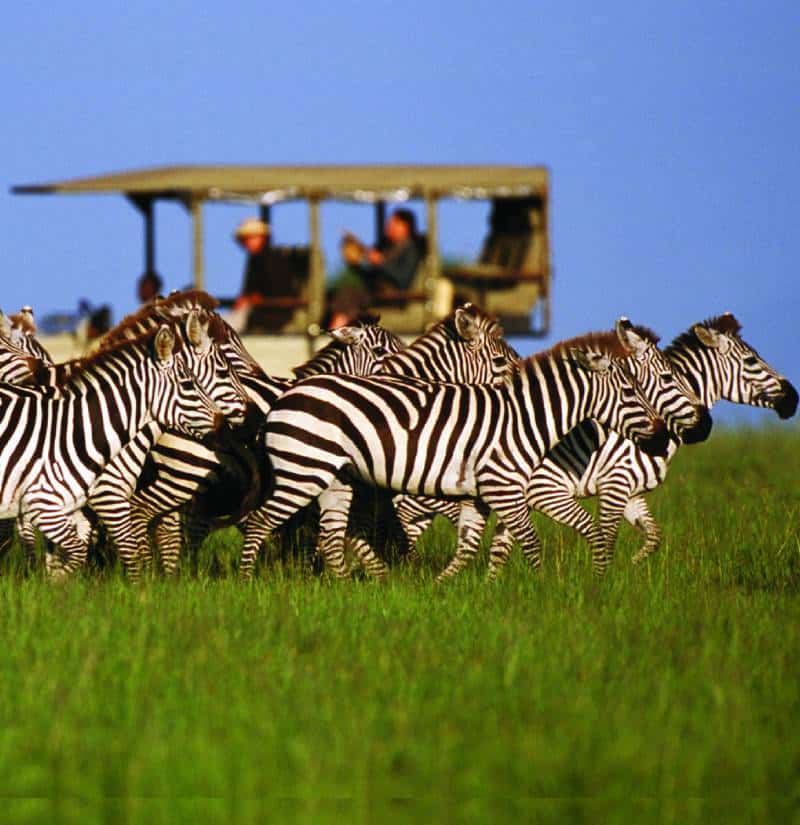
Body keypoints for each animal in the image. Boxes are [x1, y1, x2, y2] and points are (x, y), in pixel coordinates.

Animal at [0, 324, 224, 578]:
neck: (79, 432)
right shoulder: (47, 503)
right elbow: (101, 549)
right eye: (187, 384)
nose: (224, 424)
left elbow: (74, 551)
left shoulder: (72, 507)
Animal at [238, 327, 675, 580]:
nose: (660, 439)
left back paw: (345, 591)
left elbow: (469, 546)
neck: (524, 420)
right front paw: (542, 589)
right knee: (260, 522)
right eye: (630, 391)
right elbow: (530, 540)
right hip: (303, 471)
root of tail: (285, 397)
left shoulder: (475, 495)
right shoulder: (503, 488)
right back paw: (246, 582)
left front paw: (447, 589)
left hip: (334, 478)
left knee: (329, 536)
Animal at [474, 313, 797, 575]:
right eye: (752, 361)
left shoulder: (631, 491)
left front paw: (632, 567)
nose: (794, 399)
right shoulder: (607, 483)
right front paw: (601, 583)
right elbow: (607, 539)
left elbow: (654, 536)